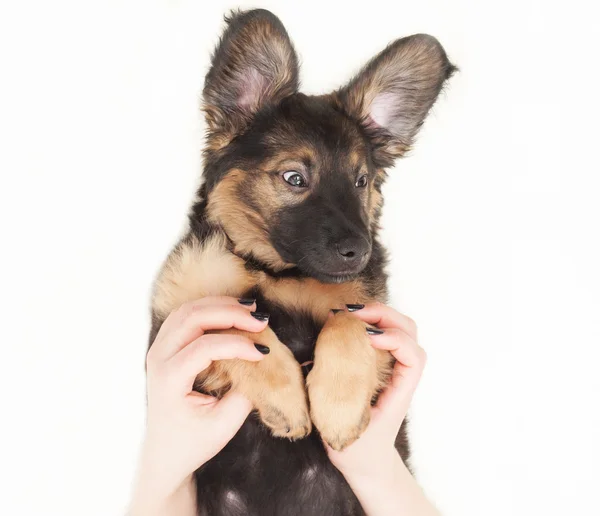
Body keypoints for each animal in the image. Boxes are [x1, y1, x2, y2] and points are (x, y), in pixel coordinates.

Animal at [148, 9, 452, 516]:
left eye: (361, 180)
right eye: (294, 178)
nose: (359, 252)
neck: (276, 271)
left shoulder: (376, 316)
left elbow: (348, 322)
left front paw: (338, 409)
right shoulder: (178, 316)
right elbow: (235, 322)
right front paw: (286, 400)